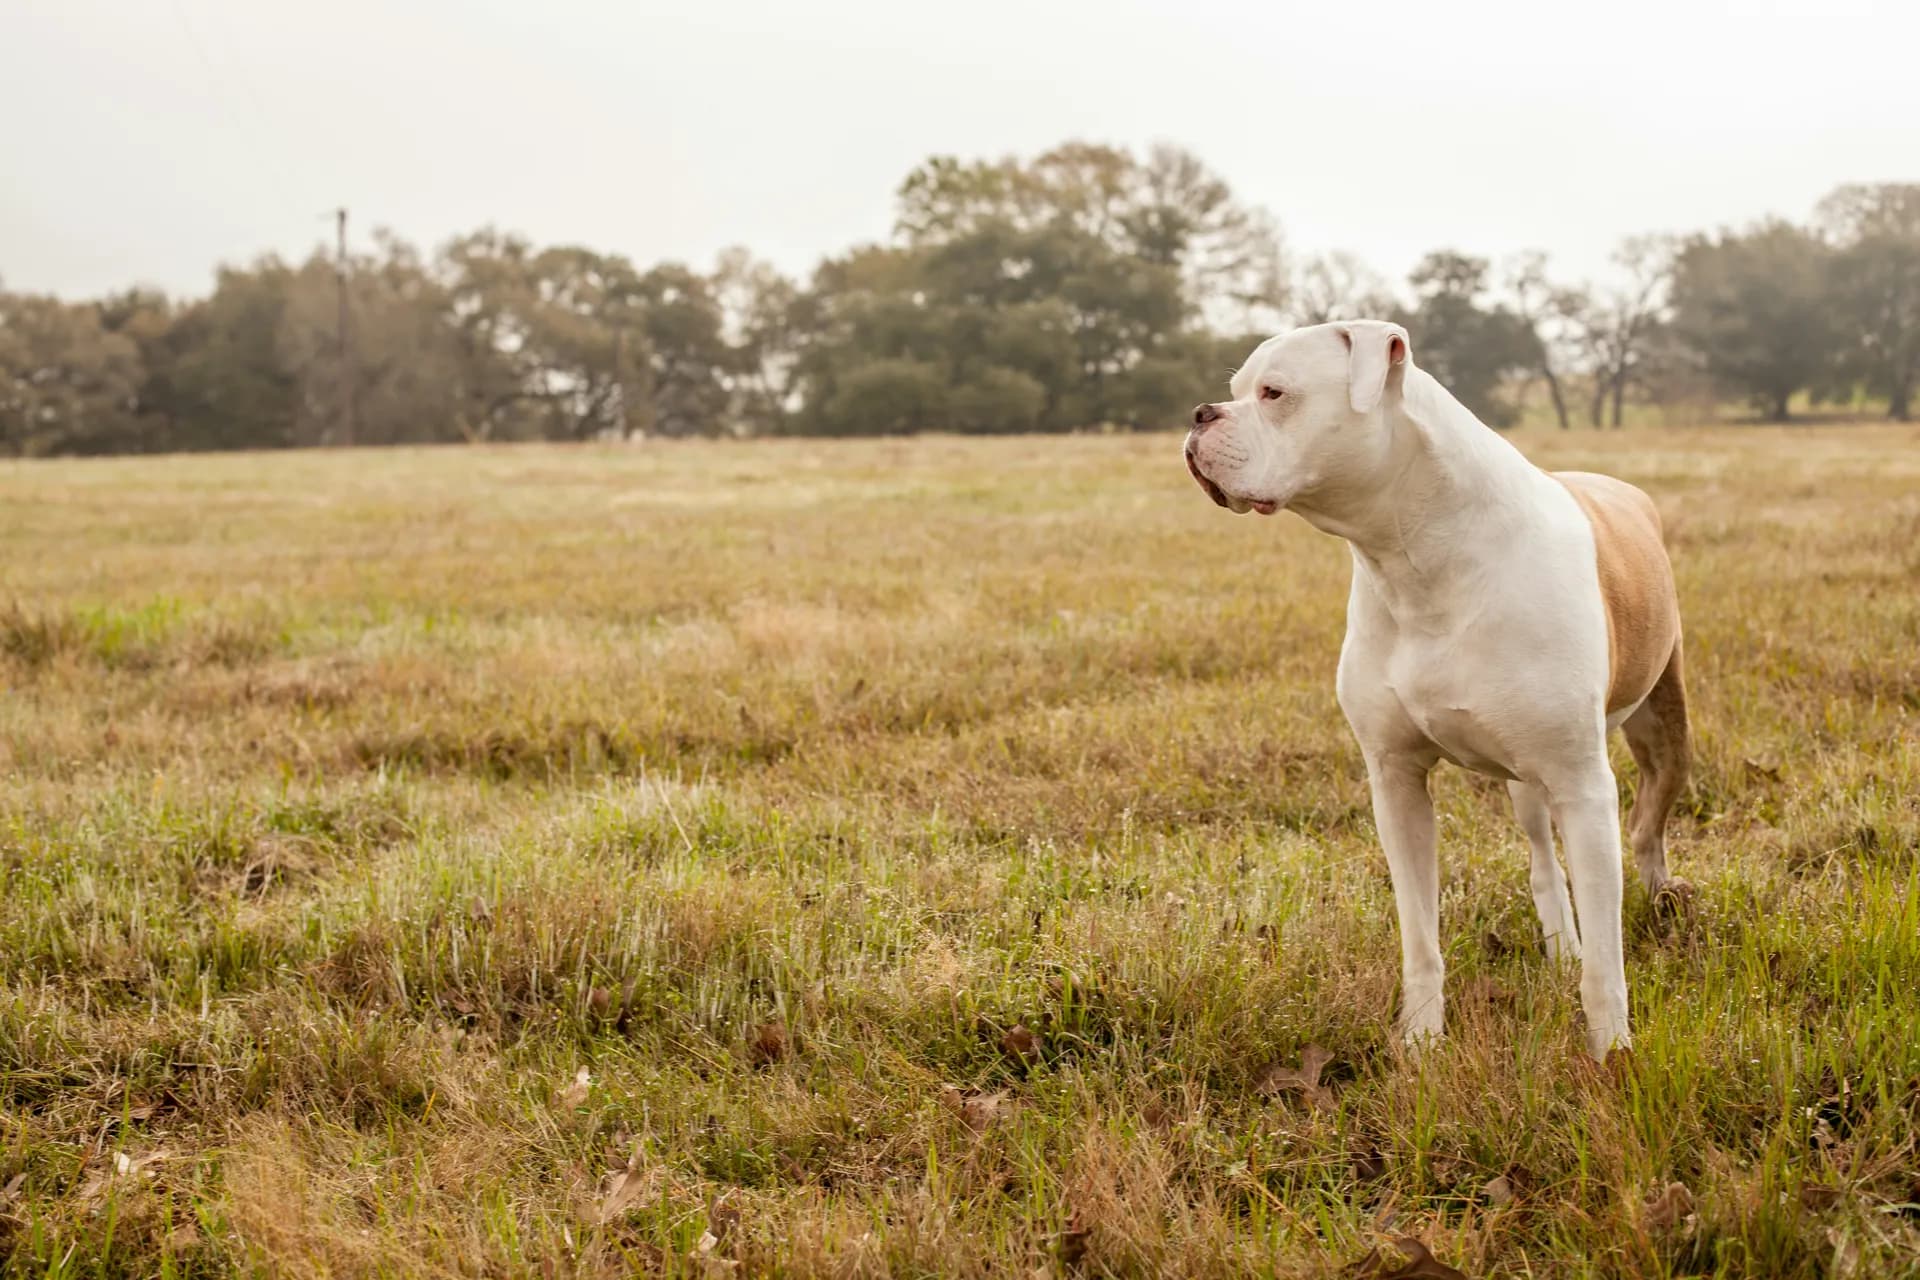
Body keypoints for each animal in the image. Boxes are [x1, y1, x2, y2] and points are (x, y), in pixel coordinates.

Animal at [1175, 322, 1689, 1059]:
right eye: (1236, 389)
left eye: (1274, 393)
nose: (1199, 415)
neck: (1415, 554)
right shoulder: (1396, 781)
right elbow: (1420, 934)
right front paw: (1419, 1041)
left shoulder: (1584, 784)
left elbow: (1606, 961)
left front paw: (1611, 1053)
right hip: (1526, 782)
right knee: (1542, 858)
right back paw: (1561, 947)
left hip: (1660, 733)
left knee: (1649, 828)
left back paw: (1662, 902)